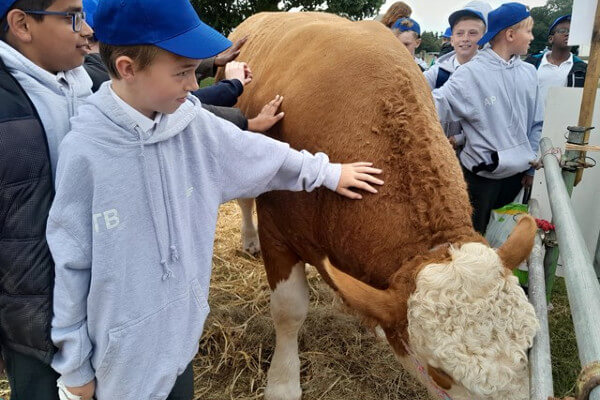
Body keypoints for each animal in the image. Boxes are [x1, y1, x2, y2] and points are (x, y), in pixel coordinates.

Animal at [226, 11, 540, 400]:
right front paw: (282, 384)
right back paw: (248, 239)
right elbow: (289, 310)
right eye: (438, 372)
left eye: (529, 345)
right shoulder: (278, 232)